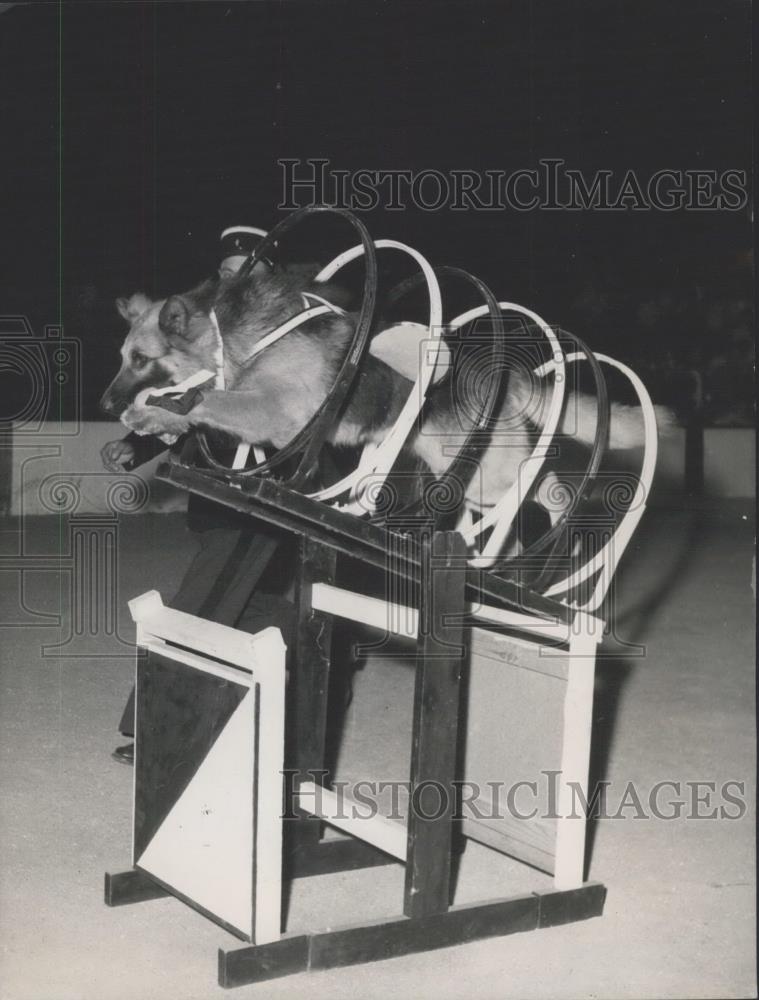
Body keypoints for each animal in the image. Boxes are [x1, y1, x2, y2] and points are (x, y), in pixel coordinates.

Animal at [102, 266, 672, 516]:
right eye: (122, 357)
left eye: (140, 359)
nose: (105, 404)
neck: (237, 334)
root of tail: (494, 373)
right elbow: (195, 406)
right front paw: (148, 428)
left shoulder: (276, 411)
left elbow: (209, 400)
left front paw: (149, 415)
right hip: (471, 475)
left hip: (494, 472)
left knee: (553, 489)